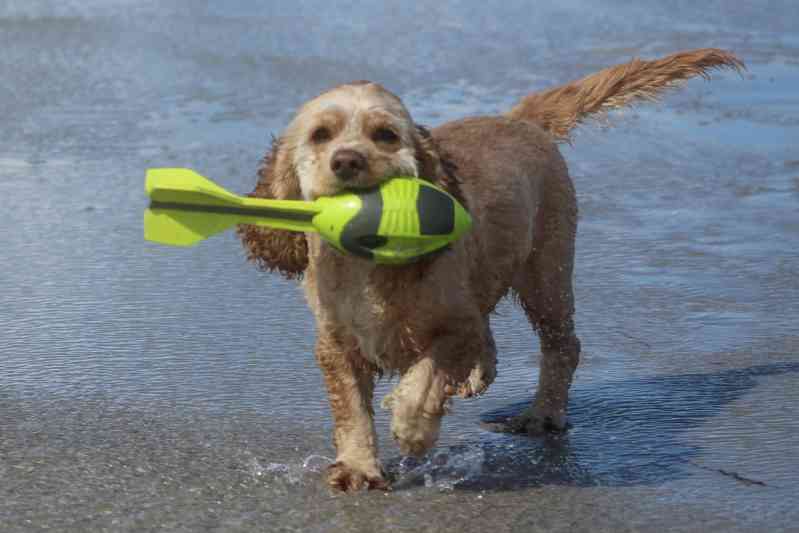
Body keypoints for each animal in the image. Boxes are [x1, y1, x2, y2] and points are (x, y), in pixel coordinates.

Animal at [238, 48, 744, 490]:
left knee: (562, 346)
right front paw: (359, 468)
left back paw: (542, 415)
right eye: (321, 135)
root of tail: (519, 118)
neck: (370, 264)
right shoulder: (336, 344)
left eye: (385, 134)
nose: (346, 160)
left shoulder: (455, 328)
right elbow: (352, 412)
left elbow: (426, 378)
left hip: (547, 274)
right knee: (497, 341)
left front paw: (412, 426)